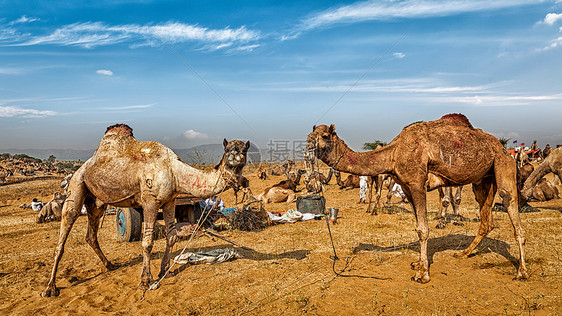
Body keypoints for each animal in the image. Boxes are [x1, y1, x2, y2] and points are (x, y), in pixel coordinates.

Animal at [41, 123, 247, 296]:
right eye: (228, 150)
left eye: (245, 150)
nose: (236, 160)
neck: (173, 171)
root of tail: (83, 166)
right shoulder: (150, 201)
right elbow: (147, 242)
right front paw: (146, 280)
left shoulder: (170, 200)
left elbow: (172, 237)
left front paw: (165, 271)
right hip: (77, 183)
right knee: (66, 227)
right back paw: (50, 288)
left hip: (97, 201)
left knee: (91, 234)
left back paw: (109, 265)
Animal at [306, 114, 524, 284]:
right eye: (311, 134)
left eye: (324, 135)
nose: (308, 142)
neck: (393, 153)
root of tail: (500, 146)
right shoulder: (406, 187)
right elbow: (418, 226)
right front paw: (418, 263)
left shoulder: (417, 183)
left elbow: (423, 229)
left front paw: (423, 274)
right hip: (483, 179)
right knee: (486, 219)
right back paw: (463, 253)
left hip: (503, 163)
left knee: (510, 204)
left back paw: (522, 272)